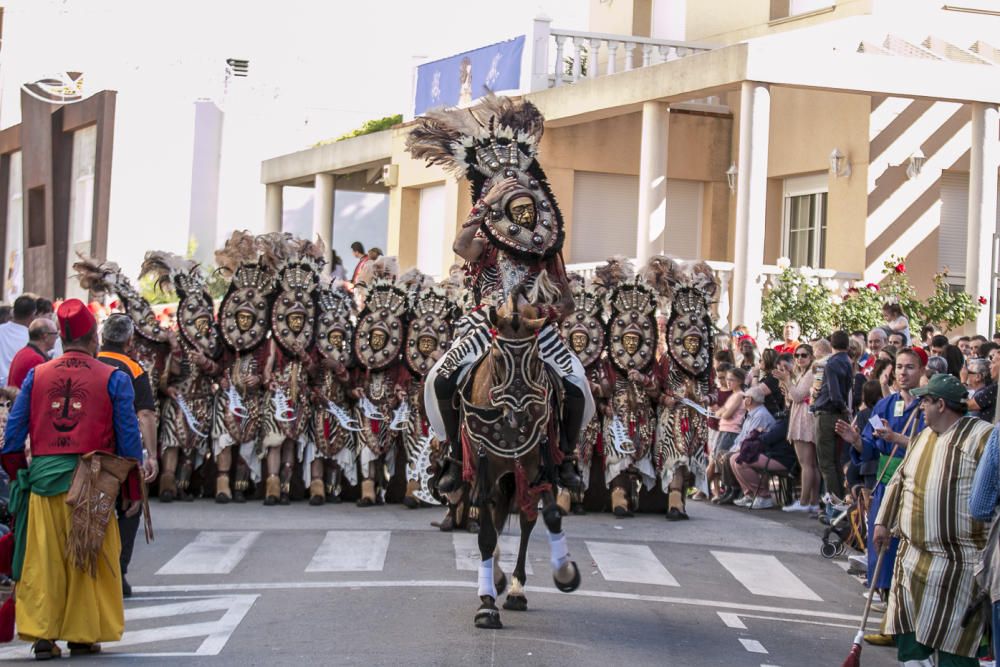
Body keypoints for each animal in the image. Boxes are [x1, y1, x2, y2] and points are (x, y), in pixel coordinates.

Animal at [458, 278, 580, 632]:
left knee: (523, 521)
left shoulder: (538, 466)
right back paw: (496, 578)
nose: (517, 417)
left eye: (536, 358)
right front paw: (486, 605)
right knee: (495, 520)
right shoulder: (484, 468)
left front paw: (563, 572)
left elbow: (545, 517)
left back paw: (514, 588)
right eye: (499, 356)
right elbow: (486, 534)